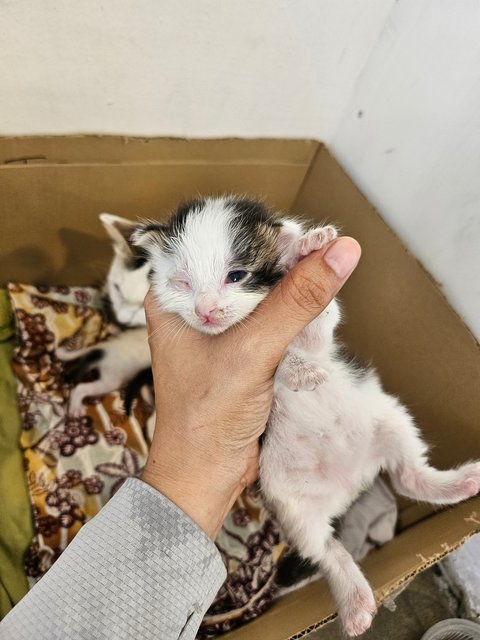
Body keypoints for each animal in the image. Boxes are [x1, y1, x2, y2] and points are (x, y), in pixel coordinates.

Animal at [58, 212, 152, 418]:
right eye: (116, 288)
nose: (122, 320)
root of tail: (103, 348)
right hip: (111, 378)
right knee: (83, 388)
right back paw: (76, 405)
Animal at [131, 198, 480, 636]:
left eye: (236, 276)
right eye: (181, 283)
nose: (206, 311)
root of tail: (350, 482)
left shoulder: (319, 335)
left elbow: (317, 328)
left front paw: (307, 248)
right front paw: (296, 371)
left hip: (390, 419)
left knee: (407, 475)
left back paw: (463, 482)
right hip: (293, 505)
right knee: (328, 547)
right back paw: (356, 604)